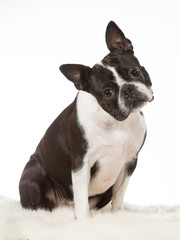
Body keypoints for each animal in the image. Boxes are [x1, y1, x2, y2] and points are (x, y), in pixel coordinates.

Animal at [18, 21, 153, 219]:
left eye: (134, 72)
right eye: (107, 92)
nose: (127, 89)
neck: (115, 121)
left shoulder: (129, 161)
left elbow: (119, 195)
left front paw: (117, 216)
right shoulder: (81, 164)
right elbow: (81, 198)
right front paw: (83, 221)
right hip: (33, 171)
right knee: (38, 205)